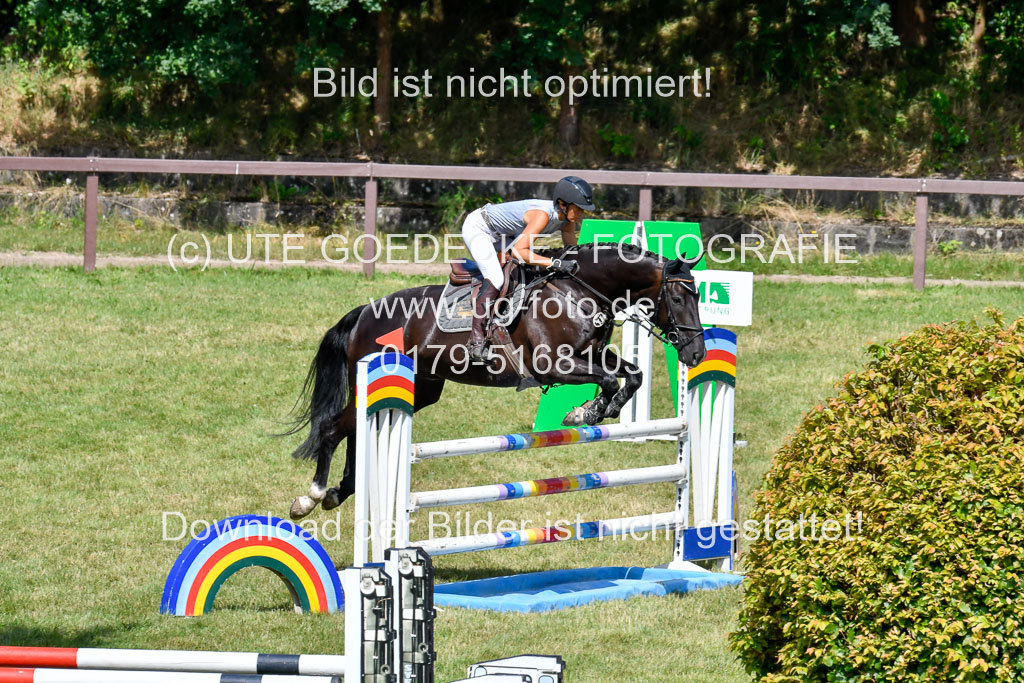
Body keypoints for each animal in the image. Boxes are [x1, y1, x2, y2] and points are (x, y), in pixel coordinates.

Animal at [283, 242, 706, 520]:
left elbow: (630, 375)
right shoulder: (552, 365)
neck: (578, 290)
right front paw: (585, 412)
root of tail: (364, 313)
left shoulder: (591, 354)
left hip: (421, 387)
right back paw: (310, 498)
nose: (696, 355)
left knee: (353, 432)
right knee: (332, 429)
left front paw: (594, 410)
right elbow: (608, 381)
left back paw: (336, 493)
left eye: (700, 296)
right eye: (679, 298)